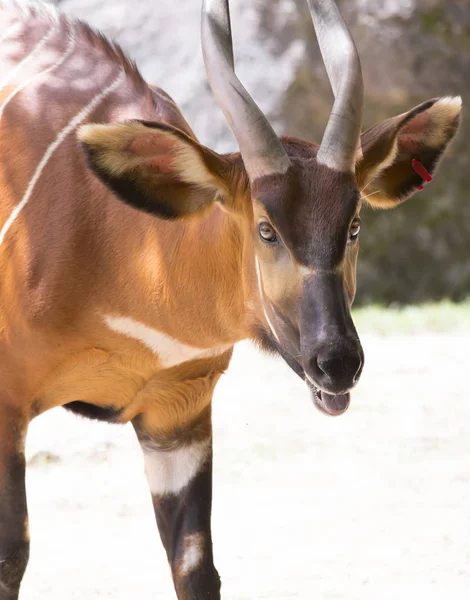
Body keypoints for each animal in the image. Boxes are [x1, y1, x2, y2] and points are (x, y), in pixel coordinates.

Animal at [0, 1, 462, 600]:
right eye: (267, 229)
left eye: (355, 223)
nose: (336, 362)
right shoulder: (8, 406)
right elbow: (11, 556)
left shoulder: (178, 414)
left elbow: (197, 566)